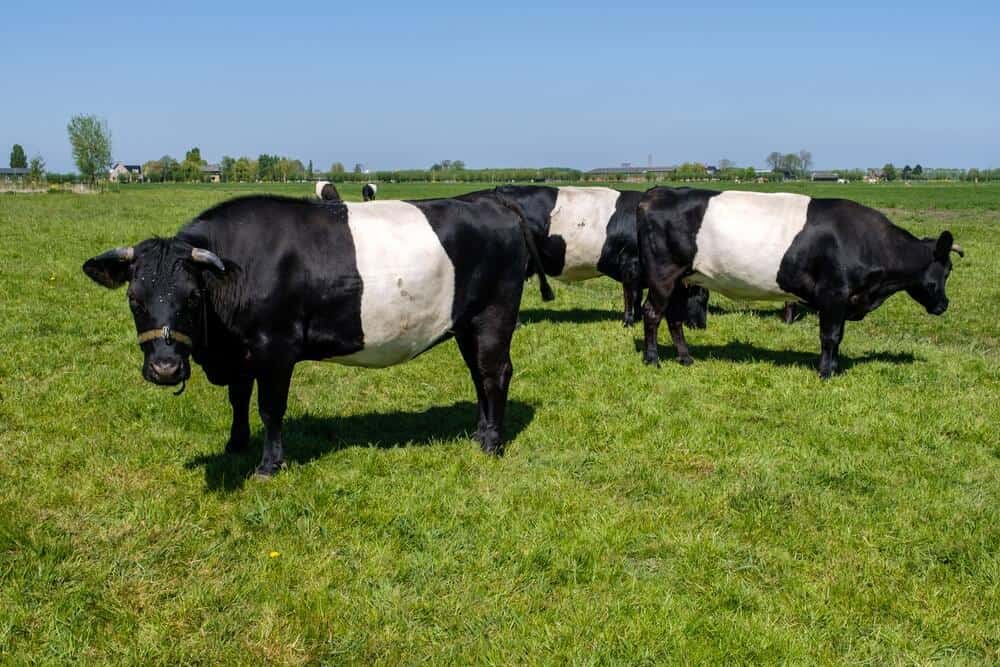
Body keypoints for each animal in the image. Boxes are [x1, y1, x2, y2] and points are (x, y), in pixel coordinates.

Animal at [82, 194, 552, 476]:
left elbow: (270, 408)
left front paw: (268, 466)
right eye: (134, 299)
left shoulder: (275, 348)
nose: (164, 367)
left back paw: (492, 444)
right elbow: (238, 398)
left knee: (495, 374)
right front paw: (235, 443)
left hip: (494, 315)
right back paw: (479, 433)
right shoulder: (242, 354)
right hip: (465, 324)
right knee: (478, 376)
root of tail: (490, 199)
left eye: (193, 297)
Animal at [459, 185, 710, 329]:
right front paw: (629, 322)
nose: (702, 326)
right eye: (702, 298)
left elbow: (636, 296)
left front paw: (637, 319)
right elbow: (631, 295)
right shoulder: (631, 264)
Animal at [636, 187, 963, 378]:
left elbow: (838, 337)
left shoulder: (844, 300)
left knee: (674, 317)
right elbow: (830, 336)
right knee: (652, 313)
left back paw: (686, 358)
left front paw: (835, 369)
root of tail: (656, 194)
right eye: (946, 271)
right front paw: (825, 373)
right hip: (663, 275)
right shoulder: (834, 294)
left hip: (682, 279)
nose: (944, 305)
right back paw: (653, 360)